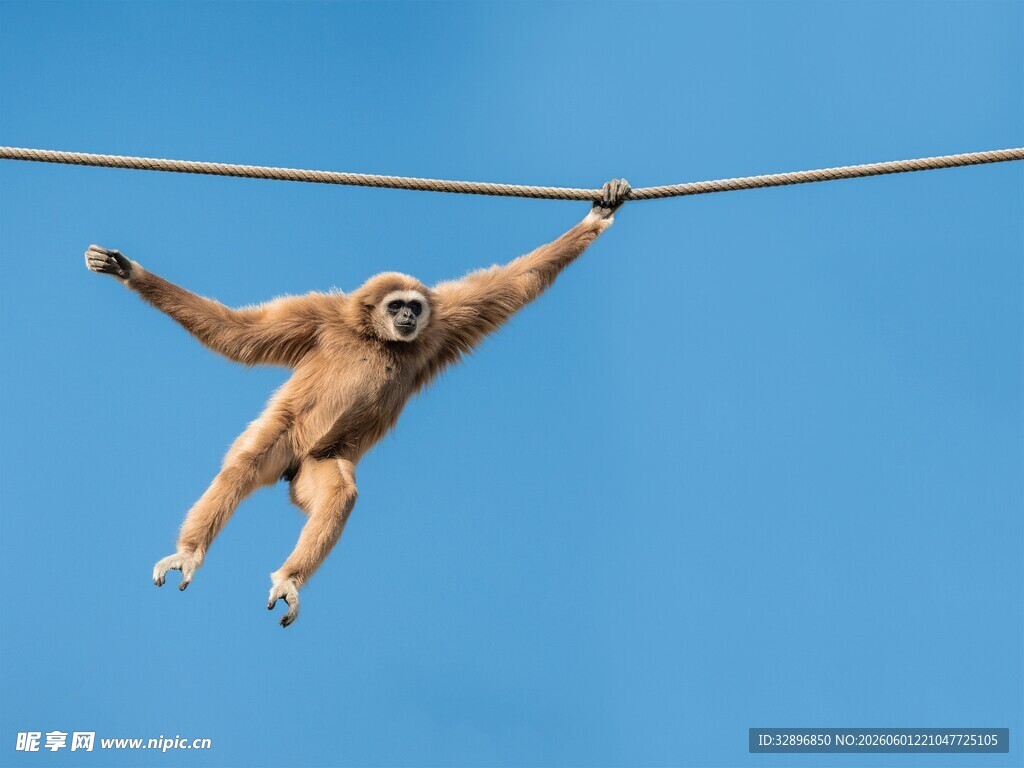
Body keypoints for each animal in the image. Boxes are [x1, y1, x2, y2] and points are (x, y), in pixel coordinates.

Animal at [85, 178, 629, 627]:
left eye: (414, 307)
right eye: (397, 305)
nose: (408, 317)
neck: (377, 338)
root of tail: (293, 466)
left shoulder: (440, 327)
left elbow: (515, 284)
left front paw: (599, 214)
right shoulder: (318, 317)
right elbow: (239, 333)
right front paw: (129, 272)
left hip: (316, 463)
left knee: (339, 493)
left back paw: (288, 578)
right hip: (287, 436)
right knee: (244, 465)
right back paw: (191, 552)